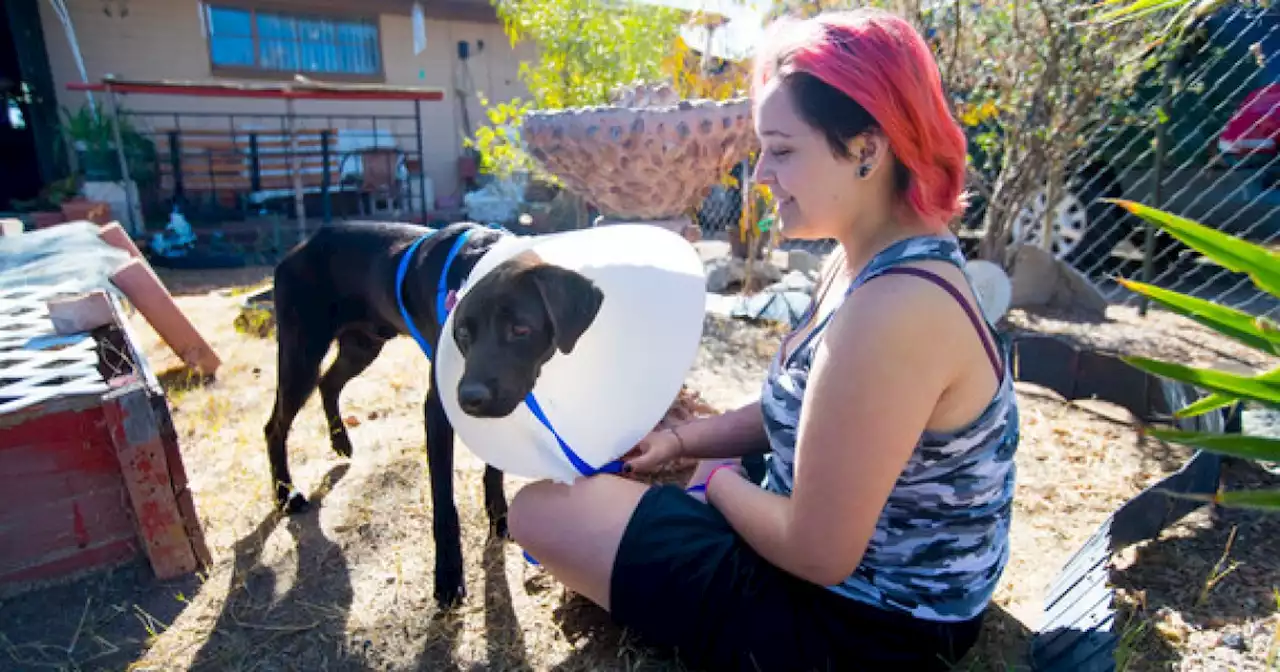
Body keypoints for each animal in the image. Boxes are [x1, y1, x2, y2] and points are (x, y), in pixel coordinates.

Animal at [263, 220, 604, 606]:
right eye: (462, 333)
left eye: (520, 329)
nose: (469, 399)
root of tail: (300, 247)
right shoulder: (438, 411)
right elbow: (444, 503)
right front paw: (448, 576)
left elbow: (494, 471)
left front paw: (500, 519)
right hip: (301, 355)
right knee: (275, 425)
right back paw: (286, 495)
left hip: (362, 345)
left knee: (328, 383)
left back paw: (340, 442)